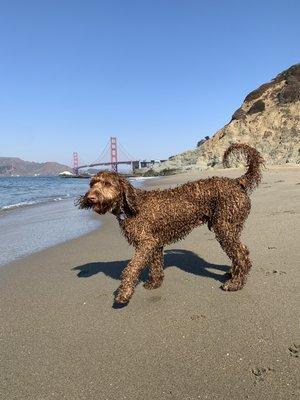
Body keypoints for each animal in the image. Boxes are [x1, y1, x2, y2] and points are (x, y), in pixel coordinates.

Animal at [77, 144, 262, 304]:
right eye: (92, 183)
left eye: (107, 184)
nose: (90, 197)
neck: (132, 206)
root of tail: (237, 182)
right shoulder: (155, 245)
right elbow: (155, 266)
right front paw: (154, 283)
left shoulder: (146, 243)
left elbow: (131, 268)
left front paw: (124, 293)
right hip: (231, 229)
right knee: (241, 252)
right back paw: (233, 273)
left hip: (225, 229)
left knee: (241, 254)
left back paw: (235, 283)